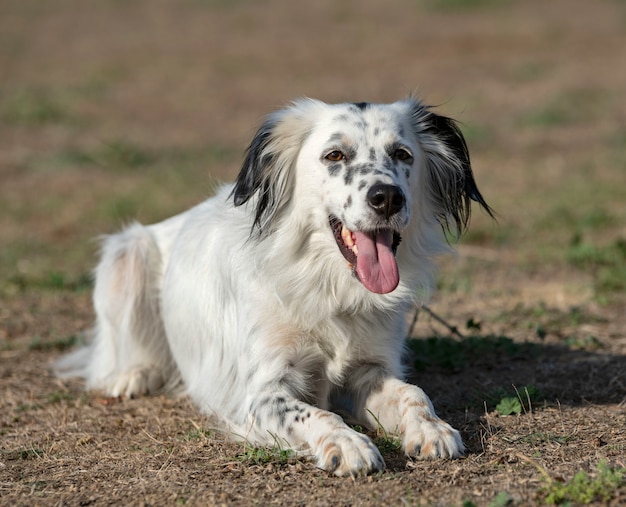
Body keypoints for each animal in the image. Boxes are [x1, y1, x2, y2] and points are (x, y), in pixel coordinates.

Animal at [54, 96, 492, 476]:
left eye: (403, 154)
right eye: (335, 155)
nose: (387, 197)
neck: (326, 284)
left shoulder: (369, 369)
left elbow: (412, 393)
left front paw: (431, 428)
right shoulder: (261, 393)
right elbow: (316, 412)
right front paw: (348, 443)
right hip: (127, 255)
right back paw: (132, 375)